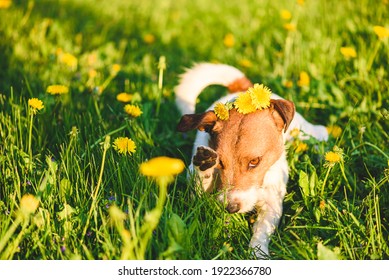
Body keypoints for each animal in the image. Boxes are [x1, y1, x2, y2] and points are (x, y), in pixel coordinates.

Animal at [174, 63, 326, 258]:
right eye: (220, 162)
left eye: (255, 161)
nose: (230, 208)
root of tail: (244, 90)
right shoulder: (199, 197)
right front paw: (204, 165)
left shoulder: (272, 203)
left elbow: (261, 231)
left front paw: (257, 253)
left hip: (300, 131)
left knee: (321, 132)